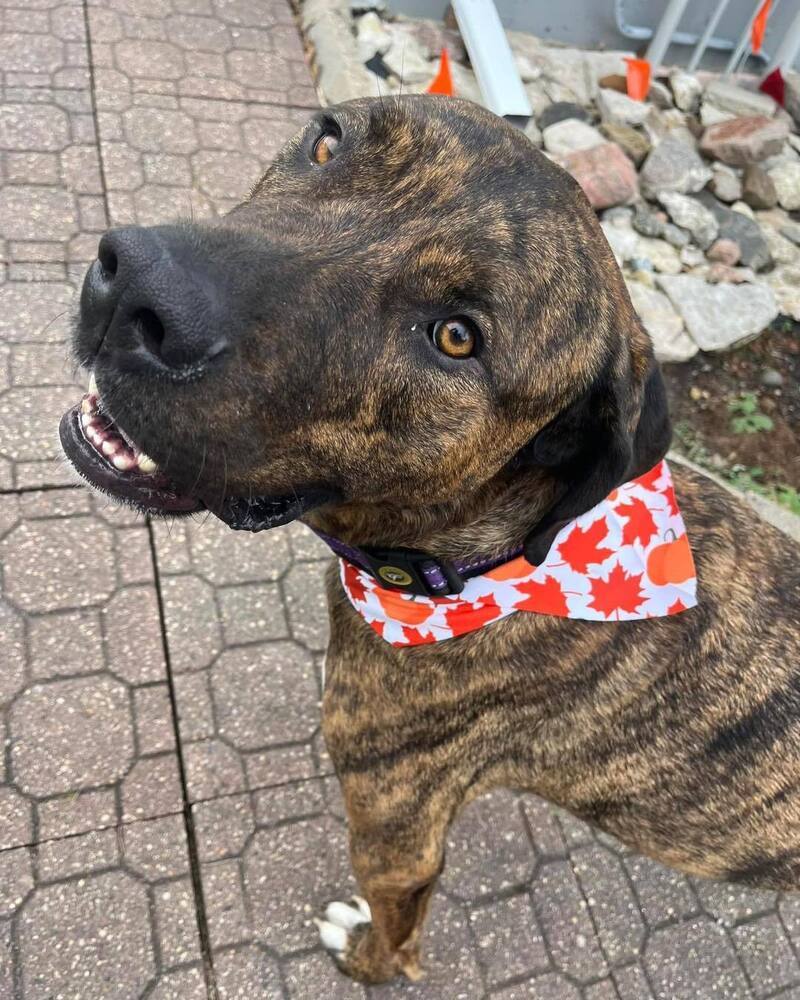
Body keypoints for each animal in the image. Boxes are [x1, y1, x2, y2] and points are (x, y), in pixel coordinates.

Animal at [62, 94, 800, 984]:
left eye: (456, 337)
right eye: (327, 142)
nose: (137, 284)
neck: (488, 559)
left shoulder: (397, 839)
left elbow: (398, 944)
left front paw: (364, 958)